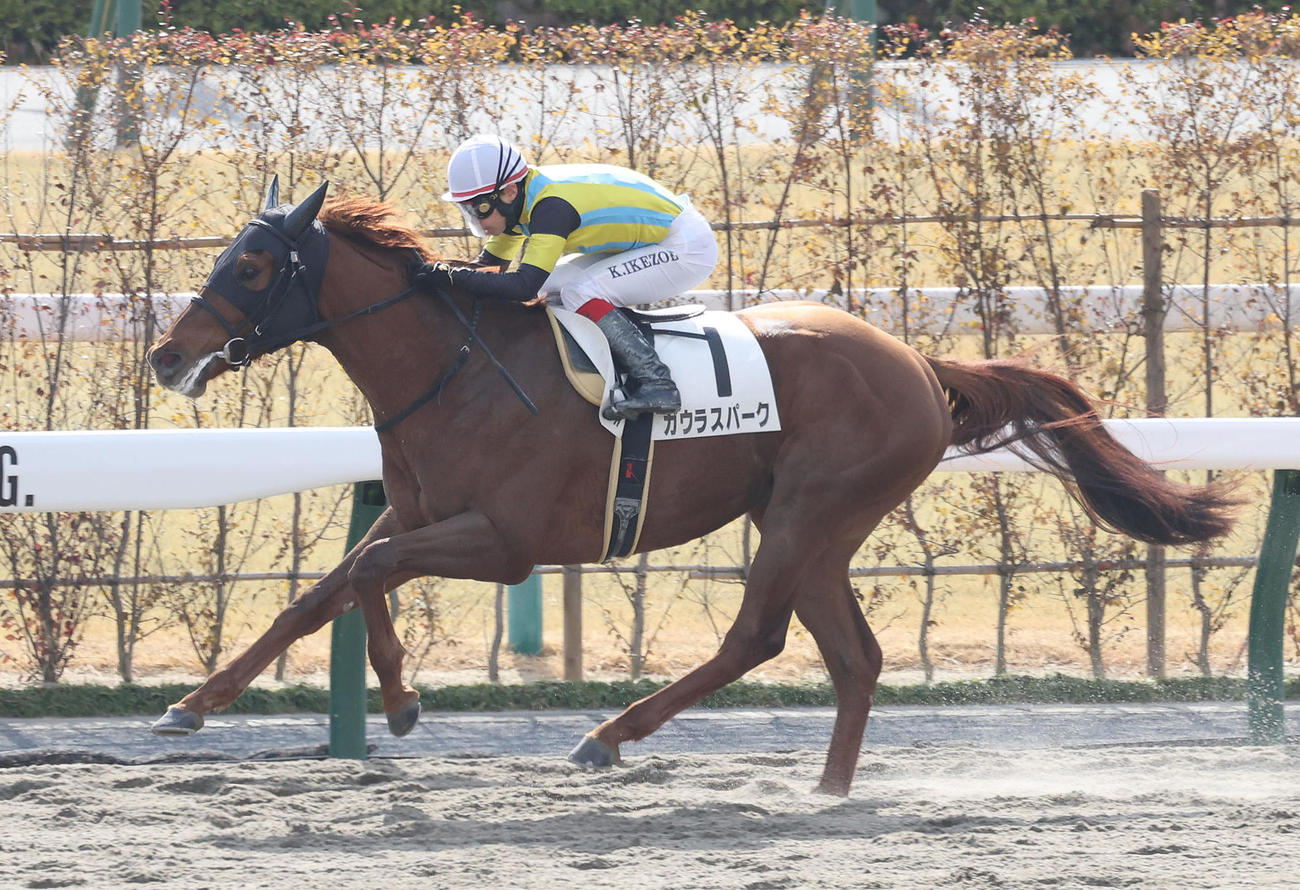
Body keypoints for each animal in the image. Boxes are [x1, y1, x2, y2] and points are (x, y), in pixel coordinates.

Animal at [146, 180, 1236, 795]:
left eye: (253, 264)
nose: (166, 355)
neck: (453, 366)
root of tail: (921, 364)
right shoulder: (422, 516)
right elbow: (330, 588)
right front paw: (201, 705)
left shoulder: (504, 544)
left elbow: (365, 571)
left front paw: (399, 701)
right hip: (815, 525)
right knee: (855, 657)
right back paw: (825, 792)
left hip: (808, 510)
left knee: (757, 636)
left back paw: (607, 737)